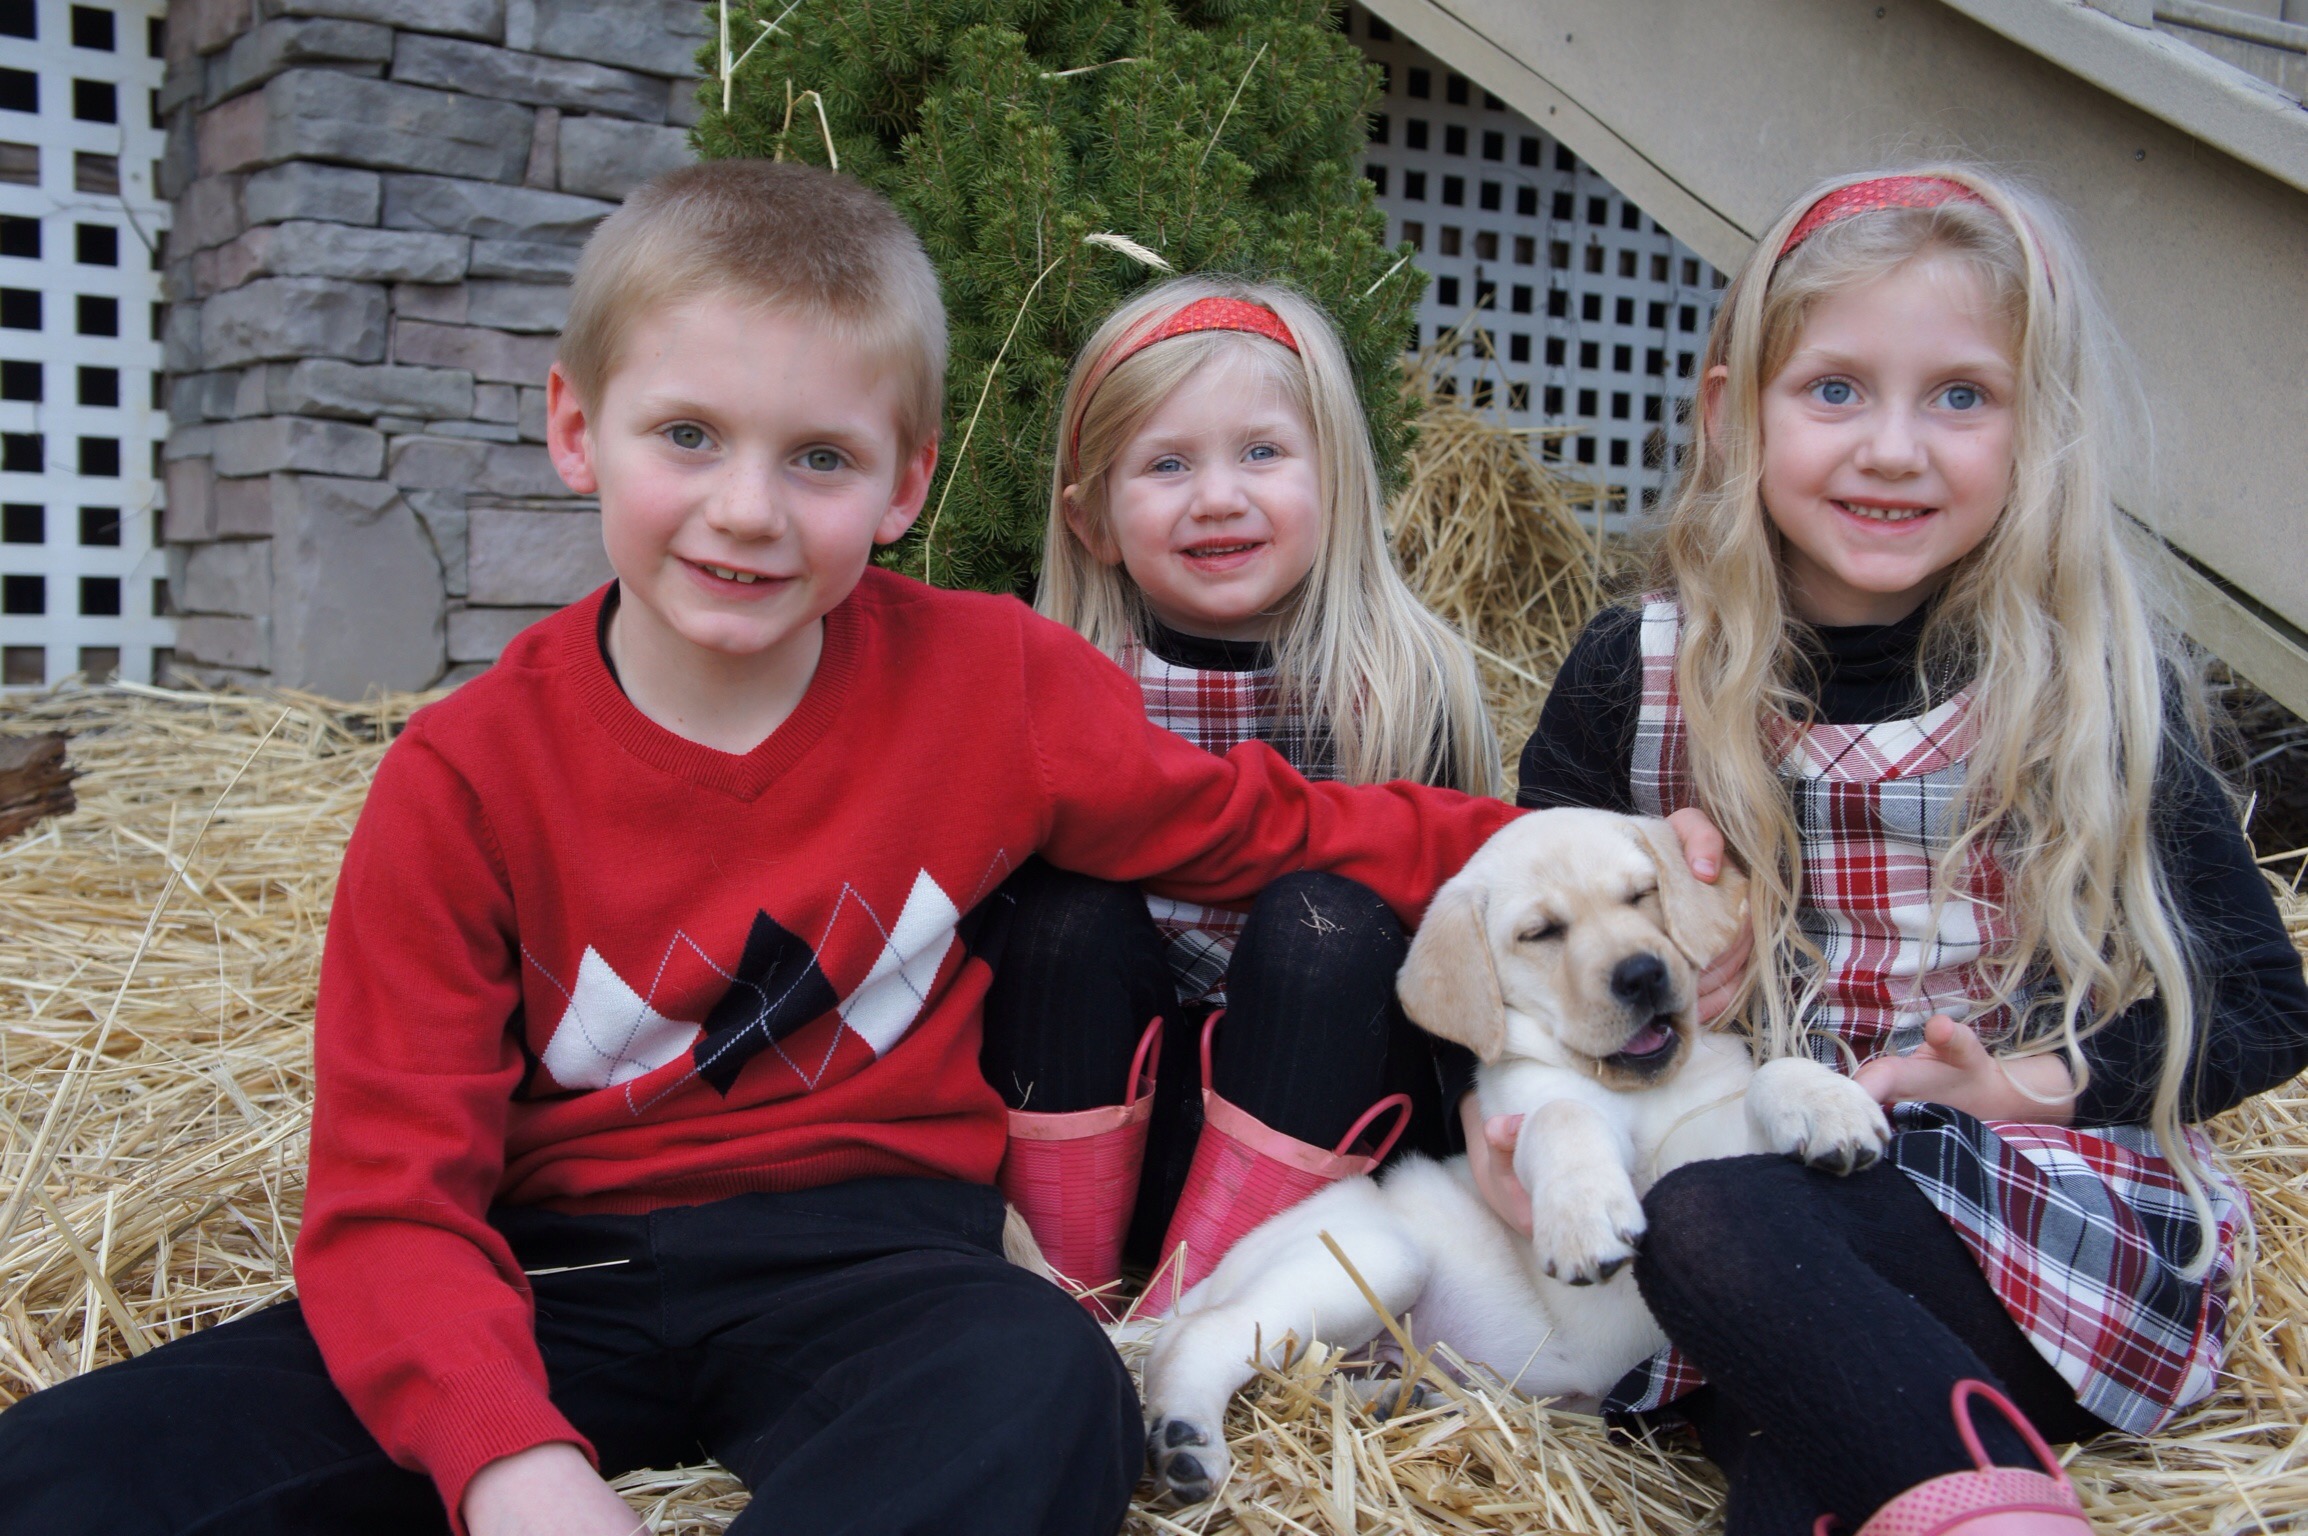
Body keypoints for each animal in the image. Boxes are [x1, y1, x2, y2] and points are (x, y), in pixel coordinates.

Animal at [1138, 808, 1891, 1504]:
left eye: (1643, 895)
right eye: (1541, 934)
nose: (1644, 974)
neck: (1637, 1093)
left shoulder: (1706, 1142)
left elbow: (1766, 1075)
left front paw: (1831, 1105)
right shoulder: (1530, 1114)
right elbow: (1563, 1115)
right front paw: (1584, 1219)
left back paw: (1389, 1399)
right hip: (1373, 1258)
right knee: (1201, 1338)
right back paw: (1186, 1437)